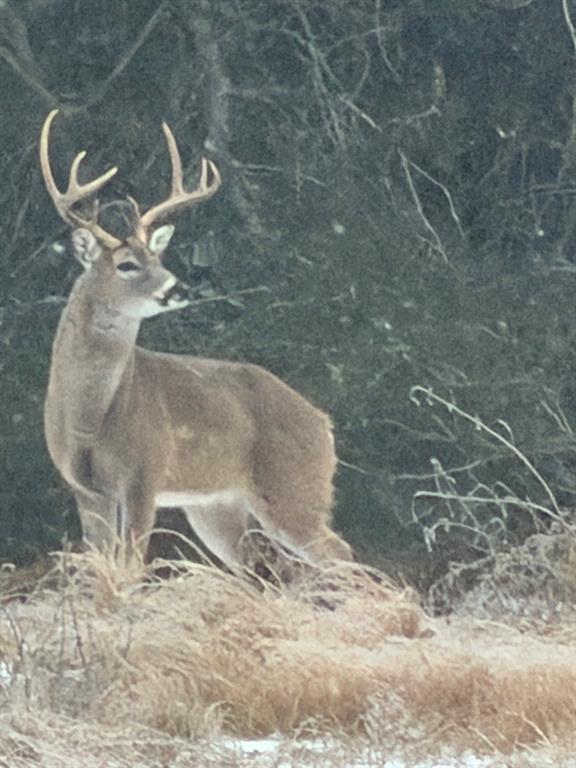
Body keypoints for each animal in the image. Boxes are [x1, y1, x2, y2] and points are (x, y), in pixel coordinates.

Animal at [39, 108, 353, 571]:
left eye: (158, 257)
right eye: (128, 264)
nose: (177, 287)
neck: (89, 420)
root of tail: (323, 423)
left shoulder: (144, 473)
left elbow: (131, 568)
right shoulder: (85, 489)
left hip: (293, 486)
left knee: (341, 554)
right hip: (215, 506)